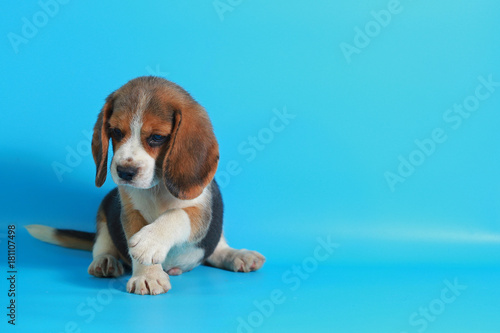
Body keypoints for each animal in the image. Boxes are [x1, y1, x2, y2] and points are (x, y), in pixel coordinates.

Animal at [24, 76, 266, 294]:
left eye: (157, 137)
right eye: (116, 132)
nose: (124, 172)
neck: (156, 188)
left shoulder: (201, 213)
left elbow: (176, 215)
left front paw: (149, 241)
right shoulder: (130, 213)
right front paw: (147, 276)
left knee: (215, 247)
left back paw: (237, 255)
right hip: (104, 211)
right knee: (101, 244)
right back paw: (105, 261)